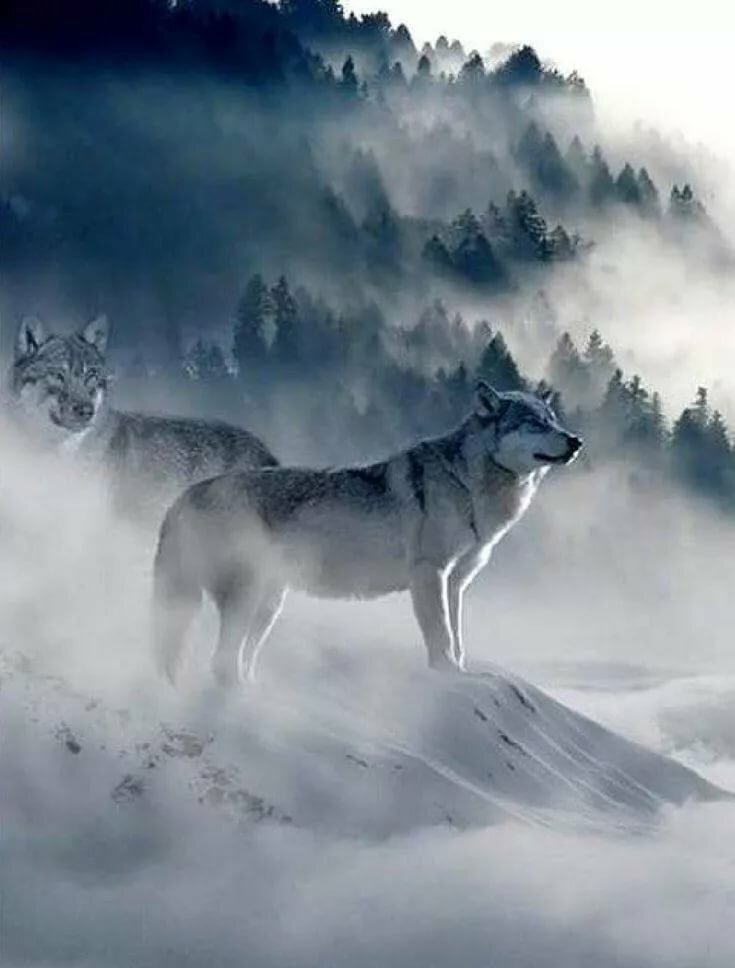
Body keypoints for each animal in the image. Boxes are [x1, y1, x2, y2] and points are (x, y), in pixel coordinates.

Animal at [153, 381, 582, 686]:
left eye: (554, 419)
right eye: (534, 423)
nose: (576, 441)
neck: (468, 484)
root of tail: (185, 495)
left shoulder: (456, 582)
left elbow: (458, 639)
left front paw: (463, 673)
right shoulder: (430, 573)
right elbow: (441, 637)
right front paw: (446, 674)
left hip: (268, 605)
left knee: (235, 660)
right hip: (247, 598)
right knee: (220, 663)